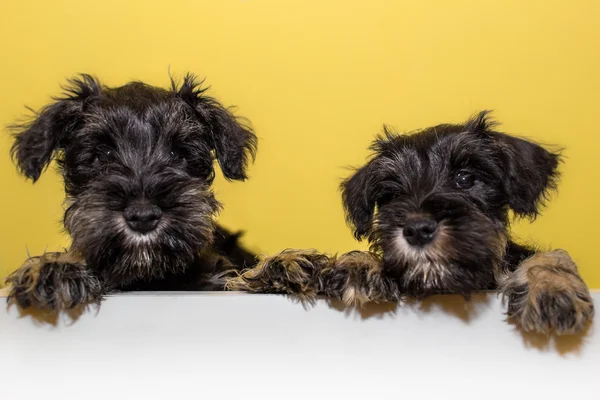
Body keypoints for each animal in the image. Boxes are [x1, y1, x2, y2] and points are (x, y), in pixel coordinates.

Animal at [230, 111, 596, 332]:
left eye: (466, 178)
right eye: (392, 194)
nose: (417, 229)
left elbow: (549, 256)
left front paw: (552, 289)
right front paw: (360, 266)